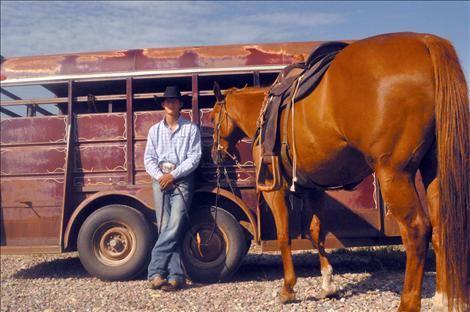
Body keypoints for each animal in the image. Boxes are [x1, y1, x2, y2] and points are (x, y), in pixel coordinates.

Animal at [210, 33, 470, 310]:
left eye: (213, 118)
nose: (216, 154)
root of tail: (425, 41)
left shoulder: (275, 190)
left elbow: (283, 235)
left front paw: (288, 288)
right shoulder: (314, 189)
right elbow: (316, 232)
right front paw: (327, 283)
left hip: (394, 174)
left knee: (417, 231)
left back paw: (408, 303)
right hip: (434, 172)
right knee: (441, 228)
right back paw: (442, 298)